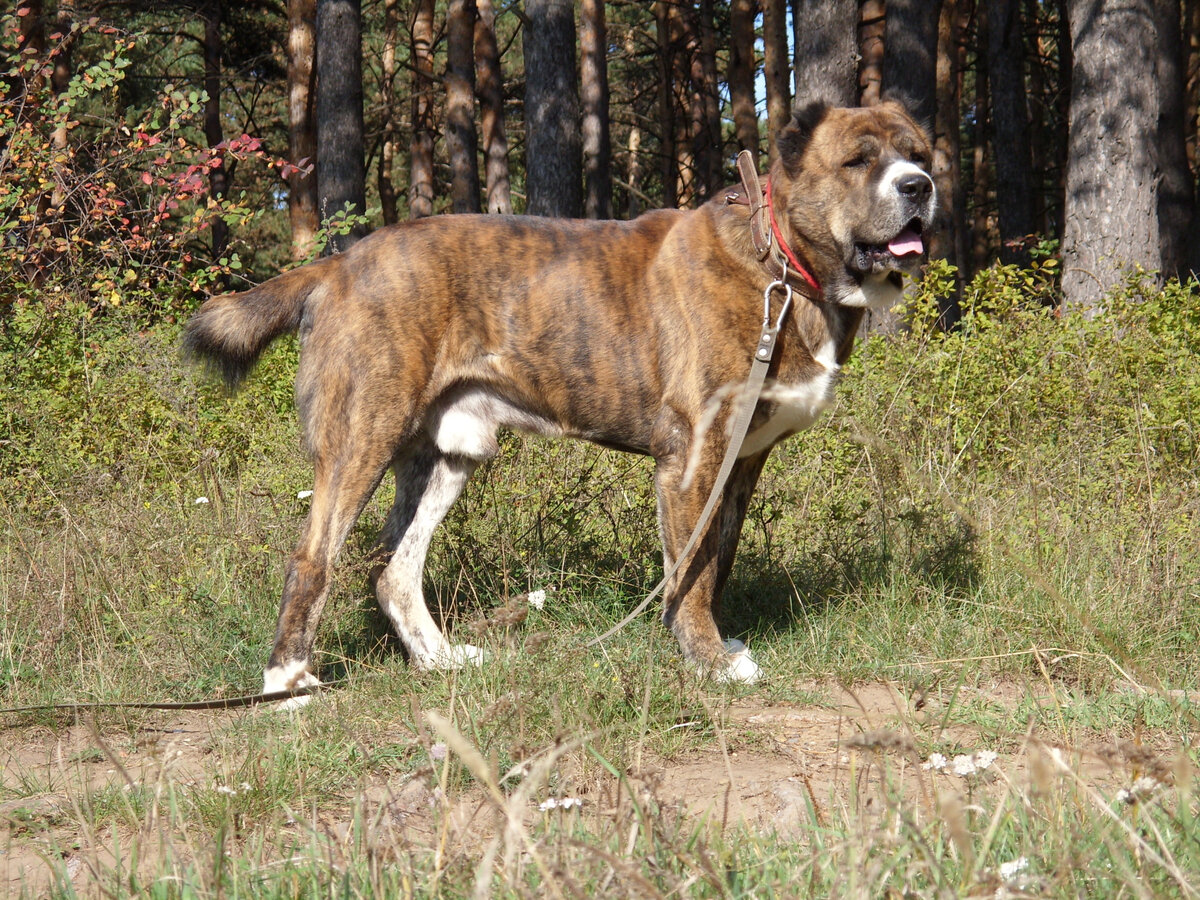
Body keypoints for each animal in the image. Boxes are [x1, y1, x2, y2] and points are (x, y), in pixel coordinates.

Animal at [184, 103, 936, 696]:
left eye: (921, 154)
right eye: (859, 160)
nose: (920, 186)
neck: (780, 263)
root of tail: (339, 263)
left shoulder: (742, 462)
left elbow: (713, 563)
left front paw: (711, 647)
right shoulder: (694, 454)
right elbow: (691, 570)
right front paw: (710, 662)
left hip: (445, 454)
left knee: (394, 569)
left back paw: (442, 660)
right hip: (363, 434)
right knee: (313, 557)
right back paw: (287, 682)